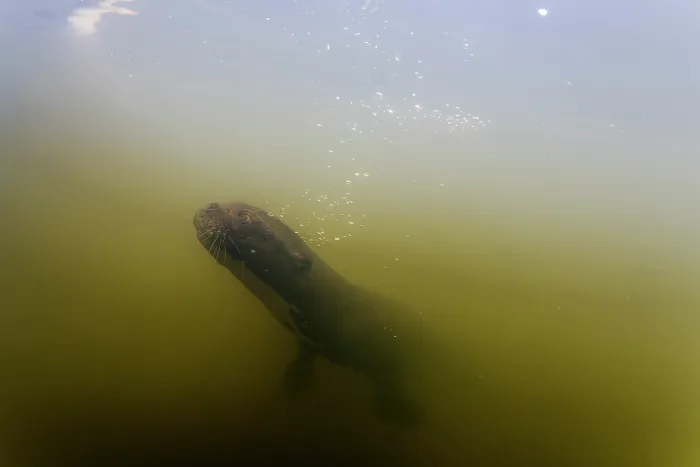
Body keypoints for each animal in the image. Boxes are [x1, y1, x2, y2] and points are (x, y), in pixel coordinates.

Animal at [193, 202, 426, 425]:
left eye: (244, 216)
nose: (211, 205)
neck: (334, 307)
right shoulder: (308, 338)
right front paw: (295, 379)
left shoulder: (384, 346)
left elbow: (390, 377)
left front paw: (403, 412)